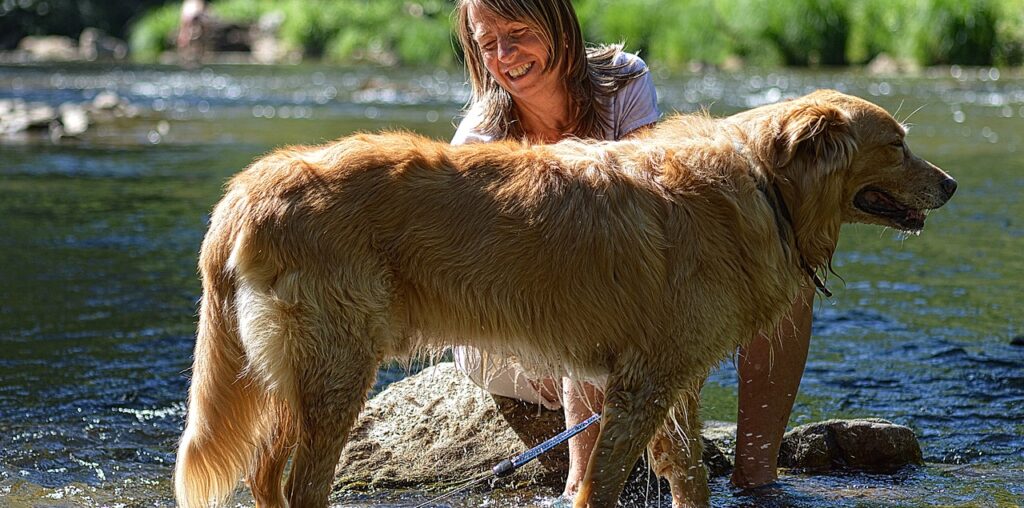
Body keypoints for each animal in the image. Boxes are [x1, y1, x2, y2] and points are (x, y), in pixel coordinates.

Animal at [174, 89, 950, 505]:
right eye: (898, 143)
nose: (951, 185)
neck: (765, 183)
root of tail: (246, 191)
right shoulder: (644, 383)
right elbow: (602, 482)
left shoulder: (670, 379)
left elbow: (689, 474)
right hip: (336, 367)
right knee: (301, 484)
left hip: (293, 375)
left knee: (267, 476)